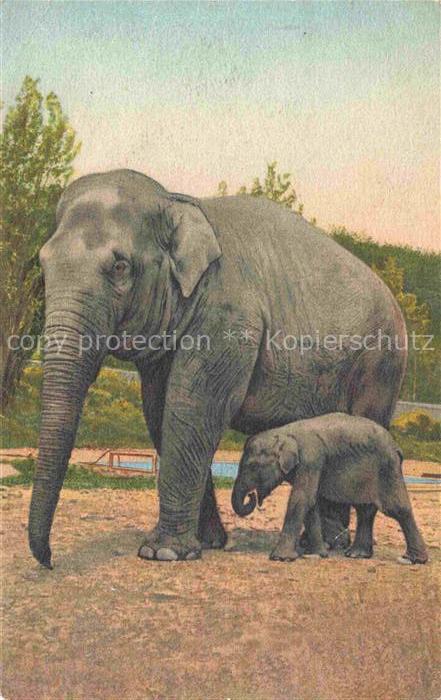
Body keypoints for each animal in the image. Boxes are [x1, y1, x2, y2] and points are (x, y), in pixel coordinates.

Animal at [28, 168, 407, 567]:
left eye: (120, 267)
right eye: (42, 263)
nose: (50, 561)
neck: (177, 201)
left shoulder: (229, 318)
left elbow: (193, 407)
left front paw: (162, 552)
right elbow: (159, 411)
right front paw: (207, 543)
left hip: (380, 366)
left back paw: (330, 545)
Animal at [231, 413, 428, 564]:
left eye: (252, 466)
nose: (252, 496)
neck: (283, 431)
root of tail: (396, 447)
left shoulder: (311, 459)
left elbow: (302, 499)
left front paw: (280, 558)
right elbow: (311, 505)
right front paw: (317, 554)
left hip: (388, 468)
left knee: (396, 508)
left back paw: (413, 559)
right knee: (365, 510)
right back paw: (356, 555)